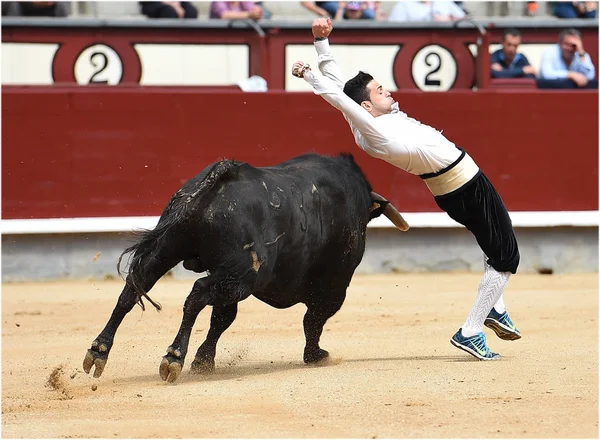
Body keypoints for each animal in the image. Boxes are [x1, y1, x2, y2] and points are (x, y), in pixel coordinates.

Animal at [83, 154, 408, 382]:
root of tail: (214, 183)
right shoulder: (333, 286)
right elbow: (313, 320)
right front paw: (316, 355)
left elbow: (222, 320)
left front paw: (204, 361)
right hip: (242, 276)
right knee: (196, 295)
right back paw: (173, 357)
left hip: (170, 250)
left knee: (133, 288)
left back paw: (98, 351)